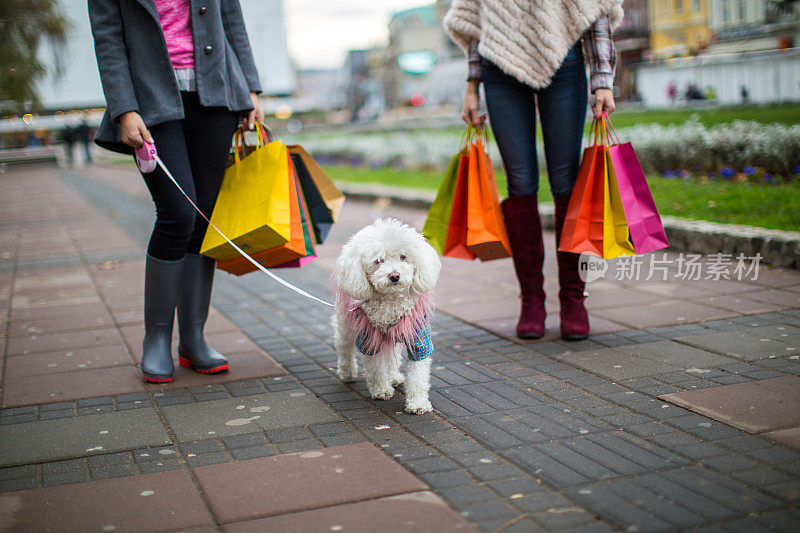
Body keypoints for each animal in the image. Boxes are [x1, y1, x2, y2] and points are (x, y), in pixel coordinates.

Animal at [332, 218, 440, 414]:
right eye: (378, 261)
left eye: (403, 257)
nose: (394, 275)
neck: (391, 300)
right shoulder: (369, 337)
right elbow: (376, 368)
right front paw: (381, 390)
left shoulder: (418, 335)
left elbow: (418, 374)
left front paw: (418, 403)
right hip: (346, 321)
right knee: (344, 346)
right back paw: (347, 372)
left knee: (392, 353)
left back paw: (394, 376)